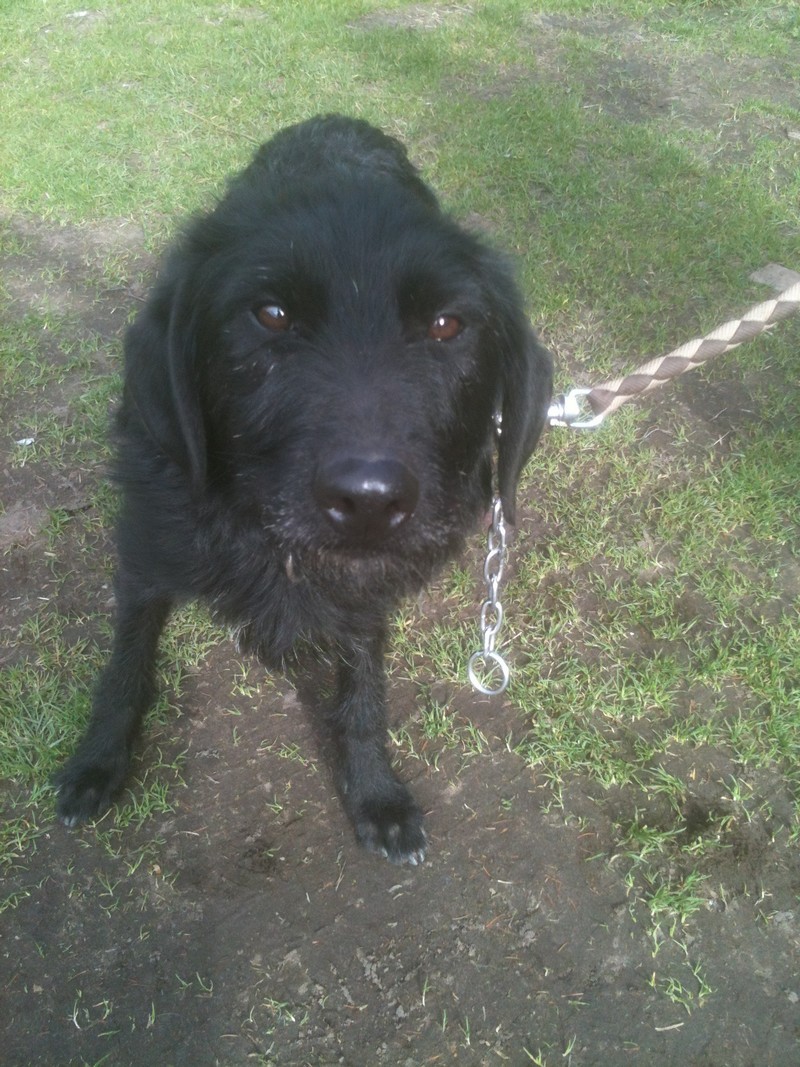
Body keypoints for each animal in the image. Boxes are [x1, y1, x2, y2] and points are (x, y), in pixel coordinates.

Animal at [53, 118, 554, 866]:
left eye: (447, 324)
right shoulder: (145, 555)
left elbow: (363, 690)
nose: (371, 500)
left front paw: (375, 791)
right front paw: (100, 759)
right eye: (271, 313)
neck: (263, 540)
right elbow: (126, 663)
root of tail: (339, 120)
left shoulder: (367, 593)